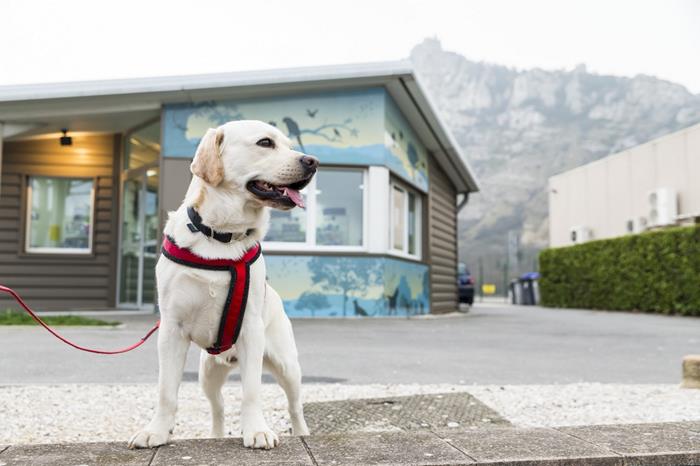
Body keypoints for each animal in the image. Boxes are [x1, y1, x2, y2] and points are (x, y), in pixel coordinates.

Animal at [129, 119, 318, 448]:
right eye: (266, 143)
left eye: (289, 144)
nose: (313, 161)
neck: (222, 235)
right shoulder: (171, 328)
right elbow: (166, 391)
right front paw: (156, 431)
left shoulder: (252, 330)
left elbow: (251, 392)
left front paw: (256, 430)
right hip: (208, 372)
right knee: (217, 407)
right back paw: (214, 435)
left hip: (287, 365)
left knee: (295, 407)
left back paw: (302, 434)